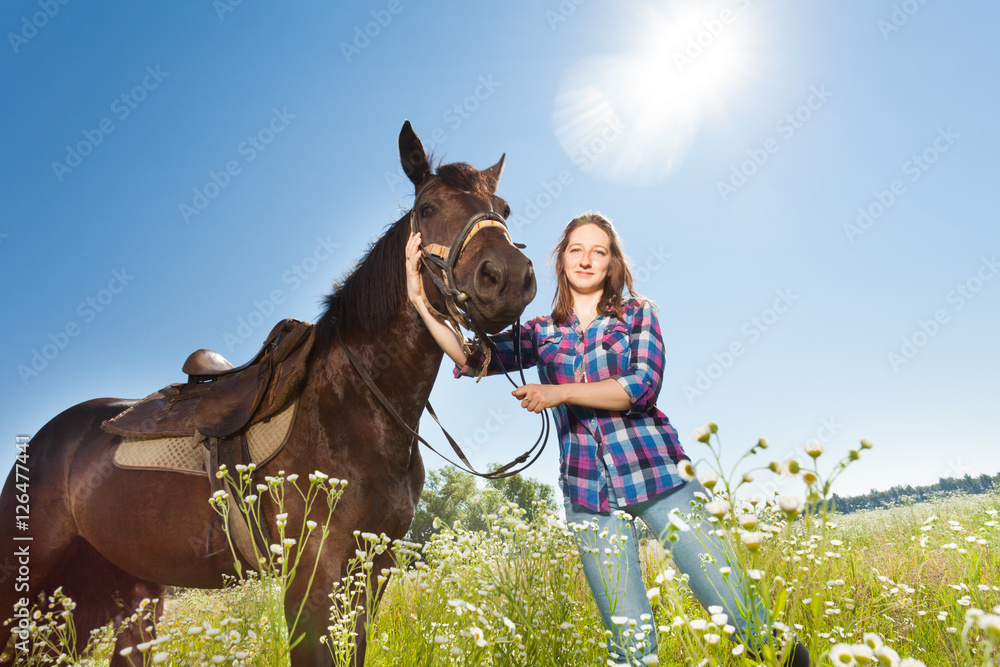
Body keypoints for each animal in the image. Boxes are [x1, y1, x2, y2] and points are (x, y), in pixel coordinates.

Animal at [0, 121, 540, 667]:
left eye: (504, 209)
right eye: (427, 209)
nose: (507, 278)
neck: (359, 404)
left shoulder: (372, 568)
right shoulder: (312, 575)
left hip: (120, 594)